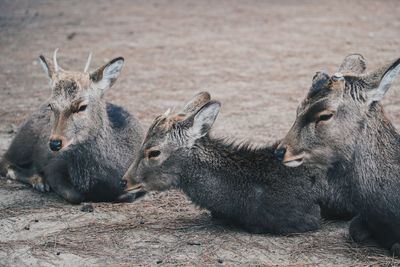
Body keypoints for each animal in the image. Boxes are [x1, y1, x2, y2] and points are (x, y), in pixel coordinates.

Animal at [0, 49, 144, 205]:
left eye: (82, 106)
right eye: (51, 105)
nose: (55, 143)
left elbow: (127, 196)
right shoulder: (54, 167)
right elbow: (75, 196)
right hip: (23, 141)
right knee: (5, 162)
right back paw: (39, 180)